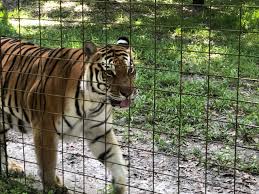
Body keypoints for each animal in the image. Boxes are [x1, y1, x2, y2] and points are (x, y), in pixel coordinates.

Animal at [0, 35, 138, 193]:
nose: (127, 93)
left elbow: (115, 160)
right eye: (109, 73)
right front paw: (52, 187)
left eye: (130, 71)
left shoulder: (99, 130)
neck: (93, 102)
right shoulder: (45, 128)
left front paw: (120, 187)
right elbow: (48, 163)